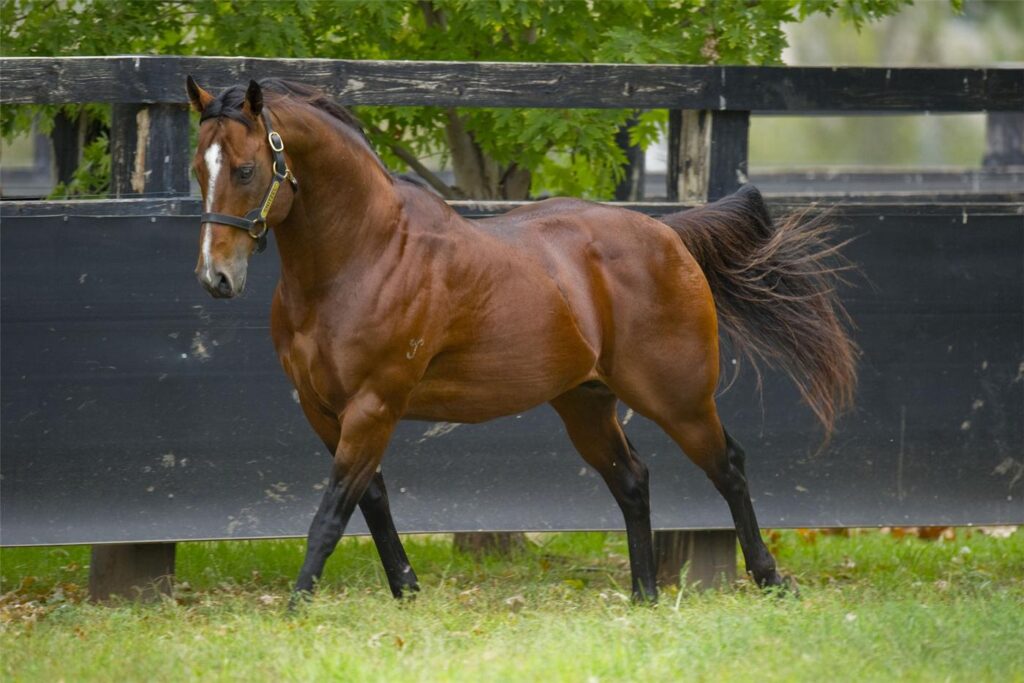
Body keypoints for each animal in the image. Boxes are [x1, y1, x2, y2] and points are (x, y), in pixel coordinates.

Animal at [186, 76, 857, 603]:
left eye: (245, 168)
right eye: (199, 170)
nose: (216, 277)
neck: (364, 256)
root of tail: (668, 234)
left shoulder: (375, 406)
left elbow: (332, 513)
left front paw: (297, 605)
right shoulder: (322, 409)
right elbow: (370, 499)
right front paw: (407, 591)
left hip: (680, 399)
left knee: (729, 467)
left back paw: (770, 580)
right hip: (586, 403)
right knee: (633, 480)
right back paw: (644, 595)